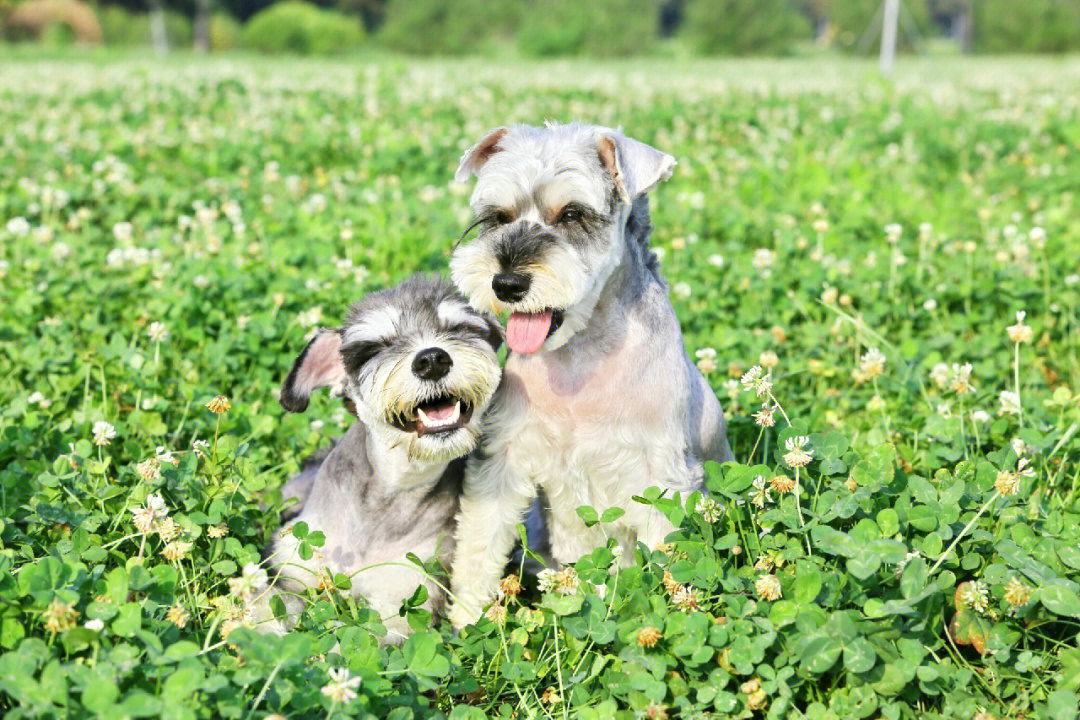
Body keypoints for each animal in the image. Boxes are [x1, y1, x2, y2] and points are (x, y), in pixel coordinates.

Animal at [250, 274, 503, 643]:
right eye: (374, 347)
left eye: (459, 328)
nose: (432, 360)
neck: (391, 492)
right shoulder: (288, 571)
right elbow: (269, 603)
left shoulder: (400, 606)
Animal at [444, 120, 734, 626]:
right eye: (499, 215)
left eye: (573, 213)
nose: (507, 284)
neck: (579, 357)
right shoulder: (503, 460)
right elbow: (480, 543)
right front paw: (465, 618)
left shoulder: (661, 479)